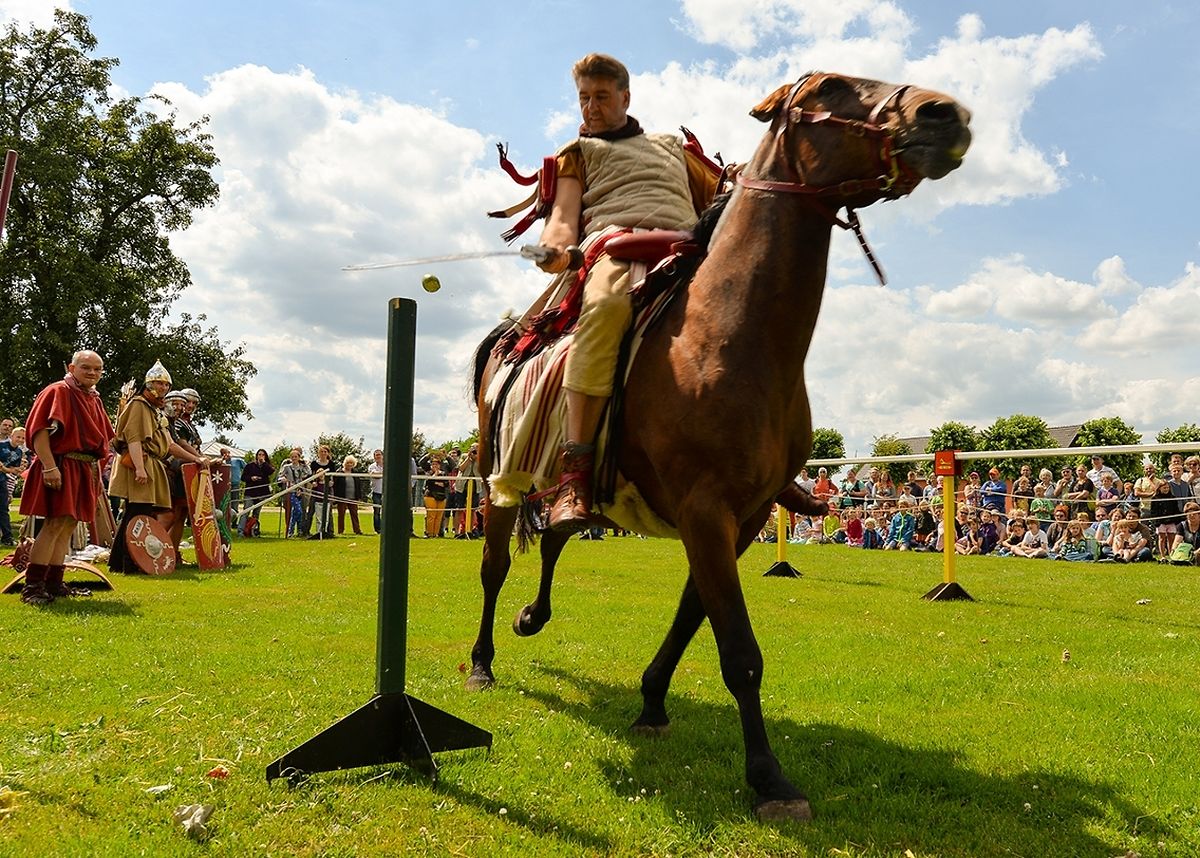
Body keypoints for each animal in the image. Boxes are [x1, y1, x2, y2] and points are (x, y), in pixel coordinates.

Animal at [466, 71, 971, 820]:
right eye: (831, 87)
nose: (945, 114)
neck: (730, 335)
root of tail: (509, 337)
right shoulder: (706, 512)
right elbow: (738, 649)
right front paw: (768, 778)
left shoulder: (742, 517)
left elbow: (692, 616)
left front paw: (651, 702)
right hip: (498, 479)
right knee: (495, 565)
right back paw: (481, 661)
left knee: (559, 530)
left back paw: (535, 614)